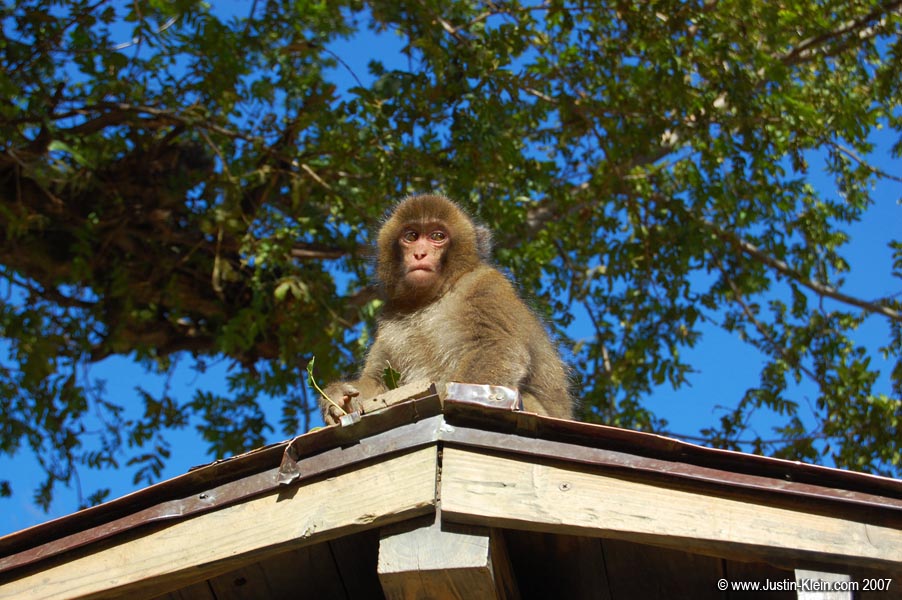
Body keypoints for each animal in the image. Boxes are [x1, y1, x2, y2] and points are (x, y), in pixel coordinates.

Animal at [320, 194, 574, 424]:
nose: (419, 253)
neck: (430, 298)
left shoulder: (486, 284)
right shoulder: (389, 314)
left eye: (437, 236)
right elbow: (378, 381)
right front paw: (339, 396)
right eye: (411, 236)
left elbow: (498, 349)